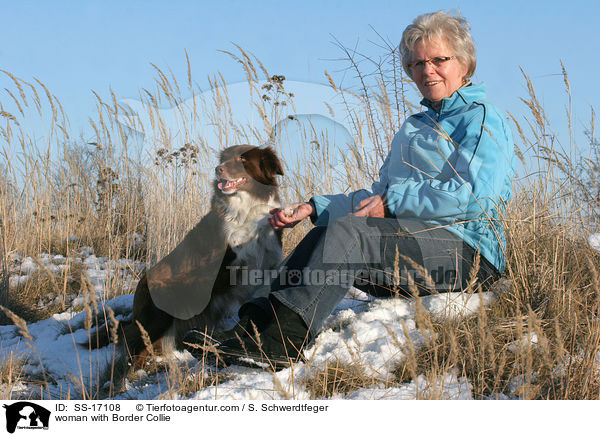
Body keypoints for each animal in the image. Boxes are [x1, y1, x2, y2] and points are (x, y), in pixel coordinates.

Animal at [87, 145, 286, 362]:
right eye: (224, 158)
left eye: (243, 159)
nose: (218, 169)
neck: (247, 208)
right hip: (166, 303)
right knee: (137, 349)